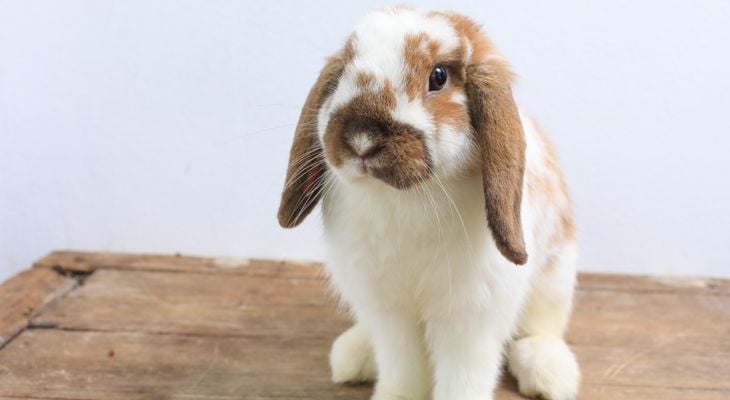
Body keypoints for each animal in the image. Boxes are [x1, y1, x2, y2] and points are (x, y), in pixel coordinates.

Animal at [277, 6, 579, 400]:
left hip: (555, 282)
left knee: (537, 331)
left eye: (439, 77)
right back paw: (354, 355)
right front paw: (394, 395)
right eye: (345, 68)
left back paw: (551, 375)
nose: (361, 139)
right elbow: (402, 367)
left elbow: (462, 374)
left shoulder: (469, 318)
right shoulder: (390, 311)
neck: (403, 199)